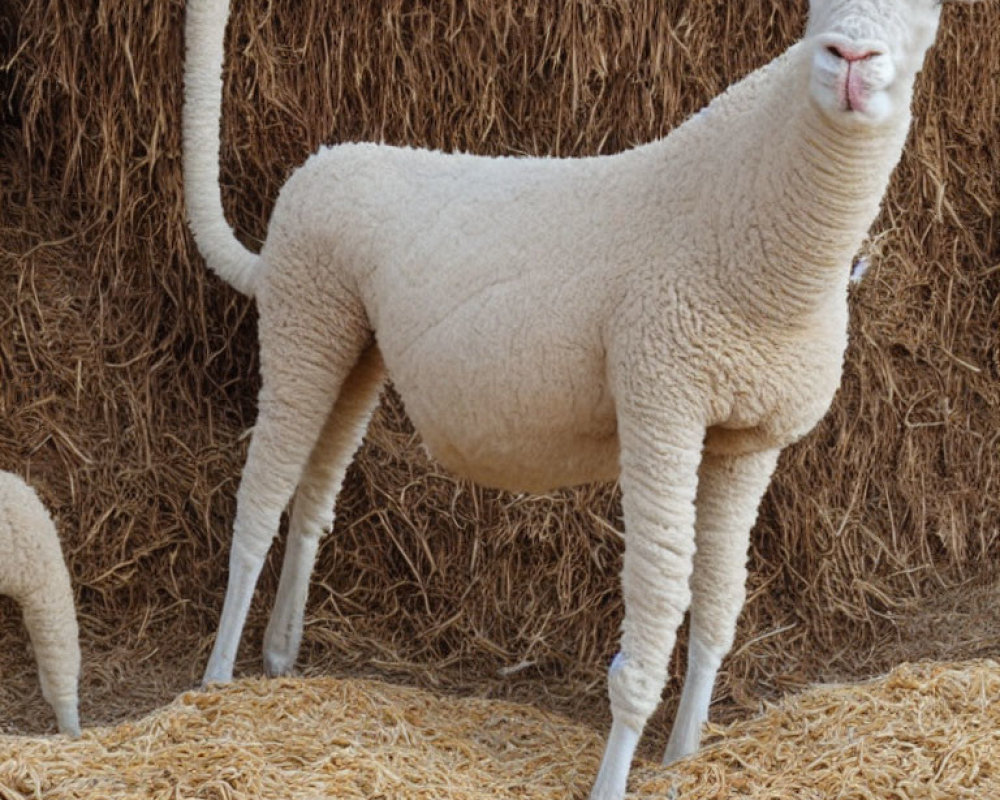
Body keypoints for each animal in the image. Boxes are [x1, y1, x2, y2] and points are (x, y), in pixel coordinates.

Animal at [184, 1, 980, 800]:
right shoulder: (660, 400)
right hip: (302, 316)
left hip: (354, 343)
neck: (757, 246)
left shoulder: (750, 440)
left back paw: (280, 658)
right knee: (260, 501)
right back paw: (215, 688)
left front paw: (684, 759)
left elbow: (718, 605)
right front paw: (615, 780)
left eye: (928, 16)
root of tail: (320, 163)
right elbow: (658, 609)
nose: (850, 58)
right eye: (814, 13)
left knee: (314, 491)